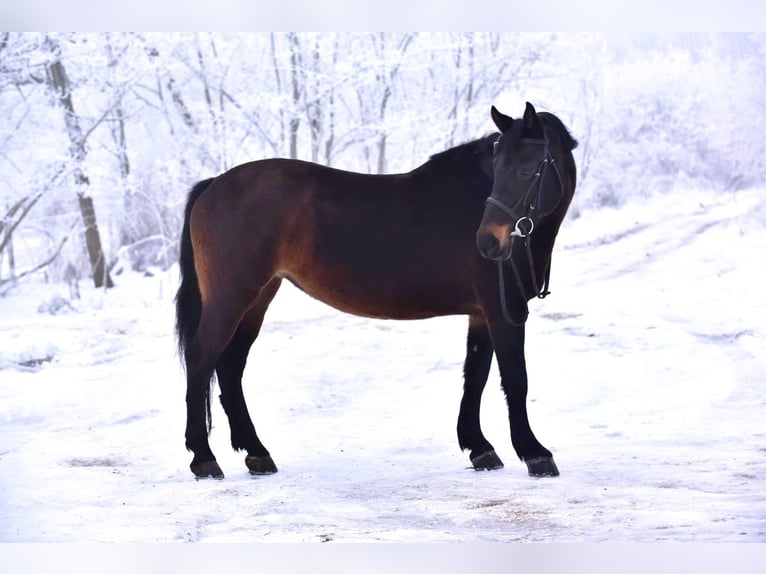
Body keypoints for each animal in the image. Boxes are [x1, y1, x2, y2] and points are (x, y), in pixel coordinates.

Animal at [175, 102, 578, 480]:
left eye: (526, 170)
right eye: (498, 169)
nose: (488, 242)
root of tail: (213, 185)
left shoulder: (482, 313)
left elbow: (475, 377)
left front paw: (479, 448)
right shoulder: (502, 310)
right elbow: (515, 379)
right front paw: (534, 452)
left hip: (257, 299)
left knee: (230, 367)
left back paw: (256, 453)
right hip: (232, 297)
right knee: (201, 359)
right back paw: (204, 458)